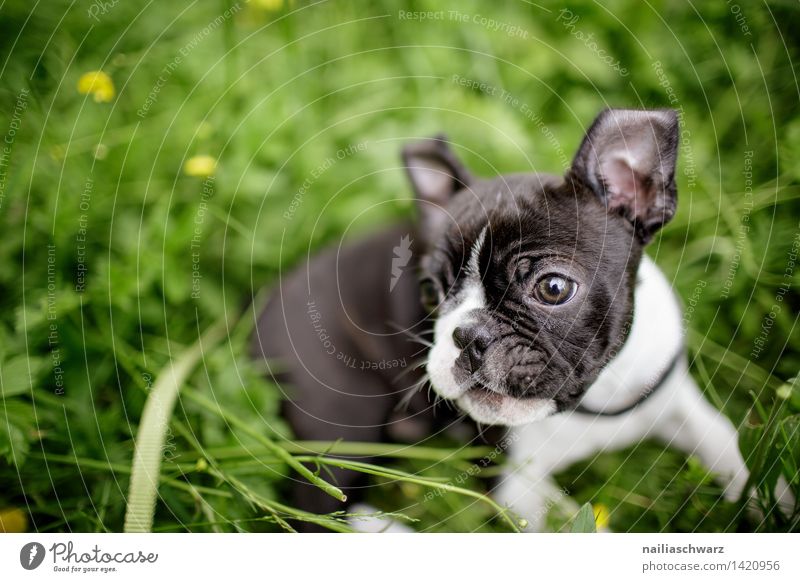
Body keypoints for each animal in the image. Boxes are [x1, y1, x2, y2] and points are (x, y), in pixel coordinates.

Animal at [253, 109, 772, 532]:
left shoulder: (675, 399)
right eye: (429, 292)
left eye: (553, 288)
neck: (595, 396)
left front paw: (769, 502)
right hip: (343, 424)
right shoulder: (517, 487)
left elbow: (729, 445)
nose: (468, 335)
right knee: (322, 510)